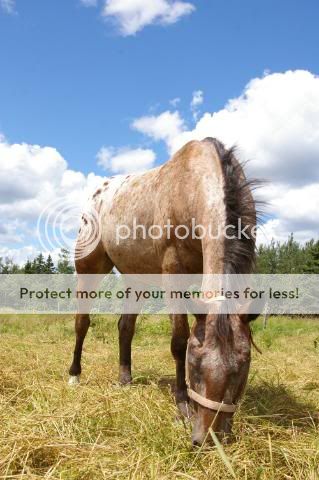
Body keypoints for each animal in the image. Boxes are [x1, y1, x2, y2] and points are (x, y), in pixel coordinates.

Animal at [69, 138, 258, 446]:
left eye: (243, 368)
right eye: (194, 364)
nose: (207, 437)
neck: (196, 184)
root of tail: (100, 193)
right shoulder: (173, 273)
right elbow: (179, 339)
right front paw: (182, 404)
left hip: (137, 279)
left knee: (125, 327)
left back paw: (125, 379)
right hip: (90, 267)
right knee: (81, 323)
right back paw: (74, 375)